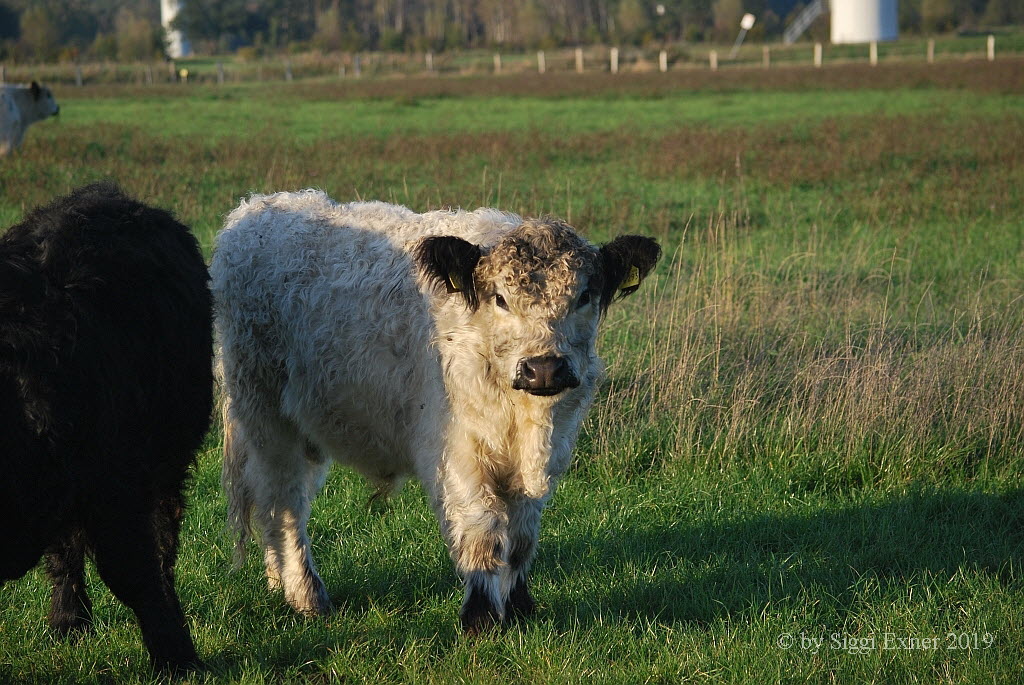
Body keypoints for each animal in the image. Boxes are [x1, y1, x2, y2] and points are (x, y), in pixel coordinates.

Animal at [214, 189, 663, 634]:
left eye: (583, 297)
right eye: (500, 298)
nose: (544, 368)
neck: (528, 422)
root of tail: (260, 207)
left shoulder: (547, 456)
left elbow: (521, 538)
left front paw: (520, 608)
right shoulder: (458, 452)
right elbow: (482, 528)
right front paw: (481, 618)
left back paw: (279, 581)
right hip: (265, 414)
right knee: (284, 502)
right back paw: (308, 597)